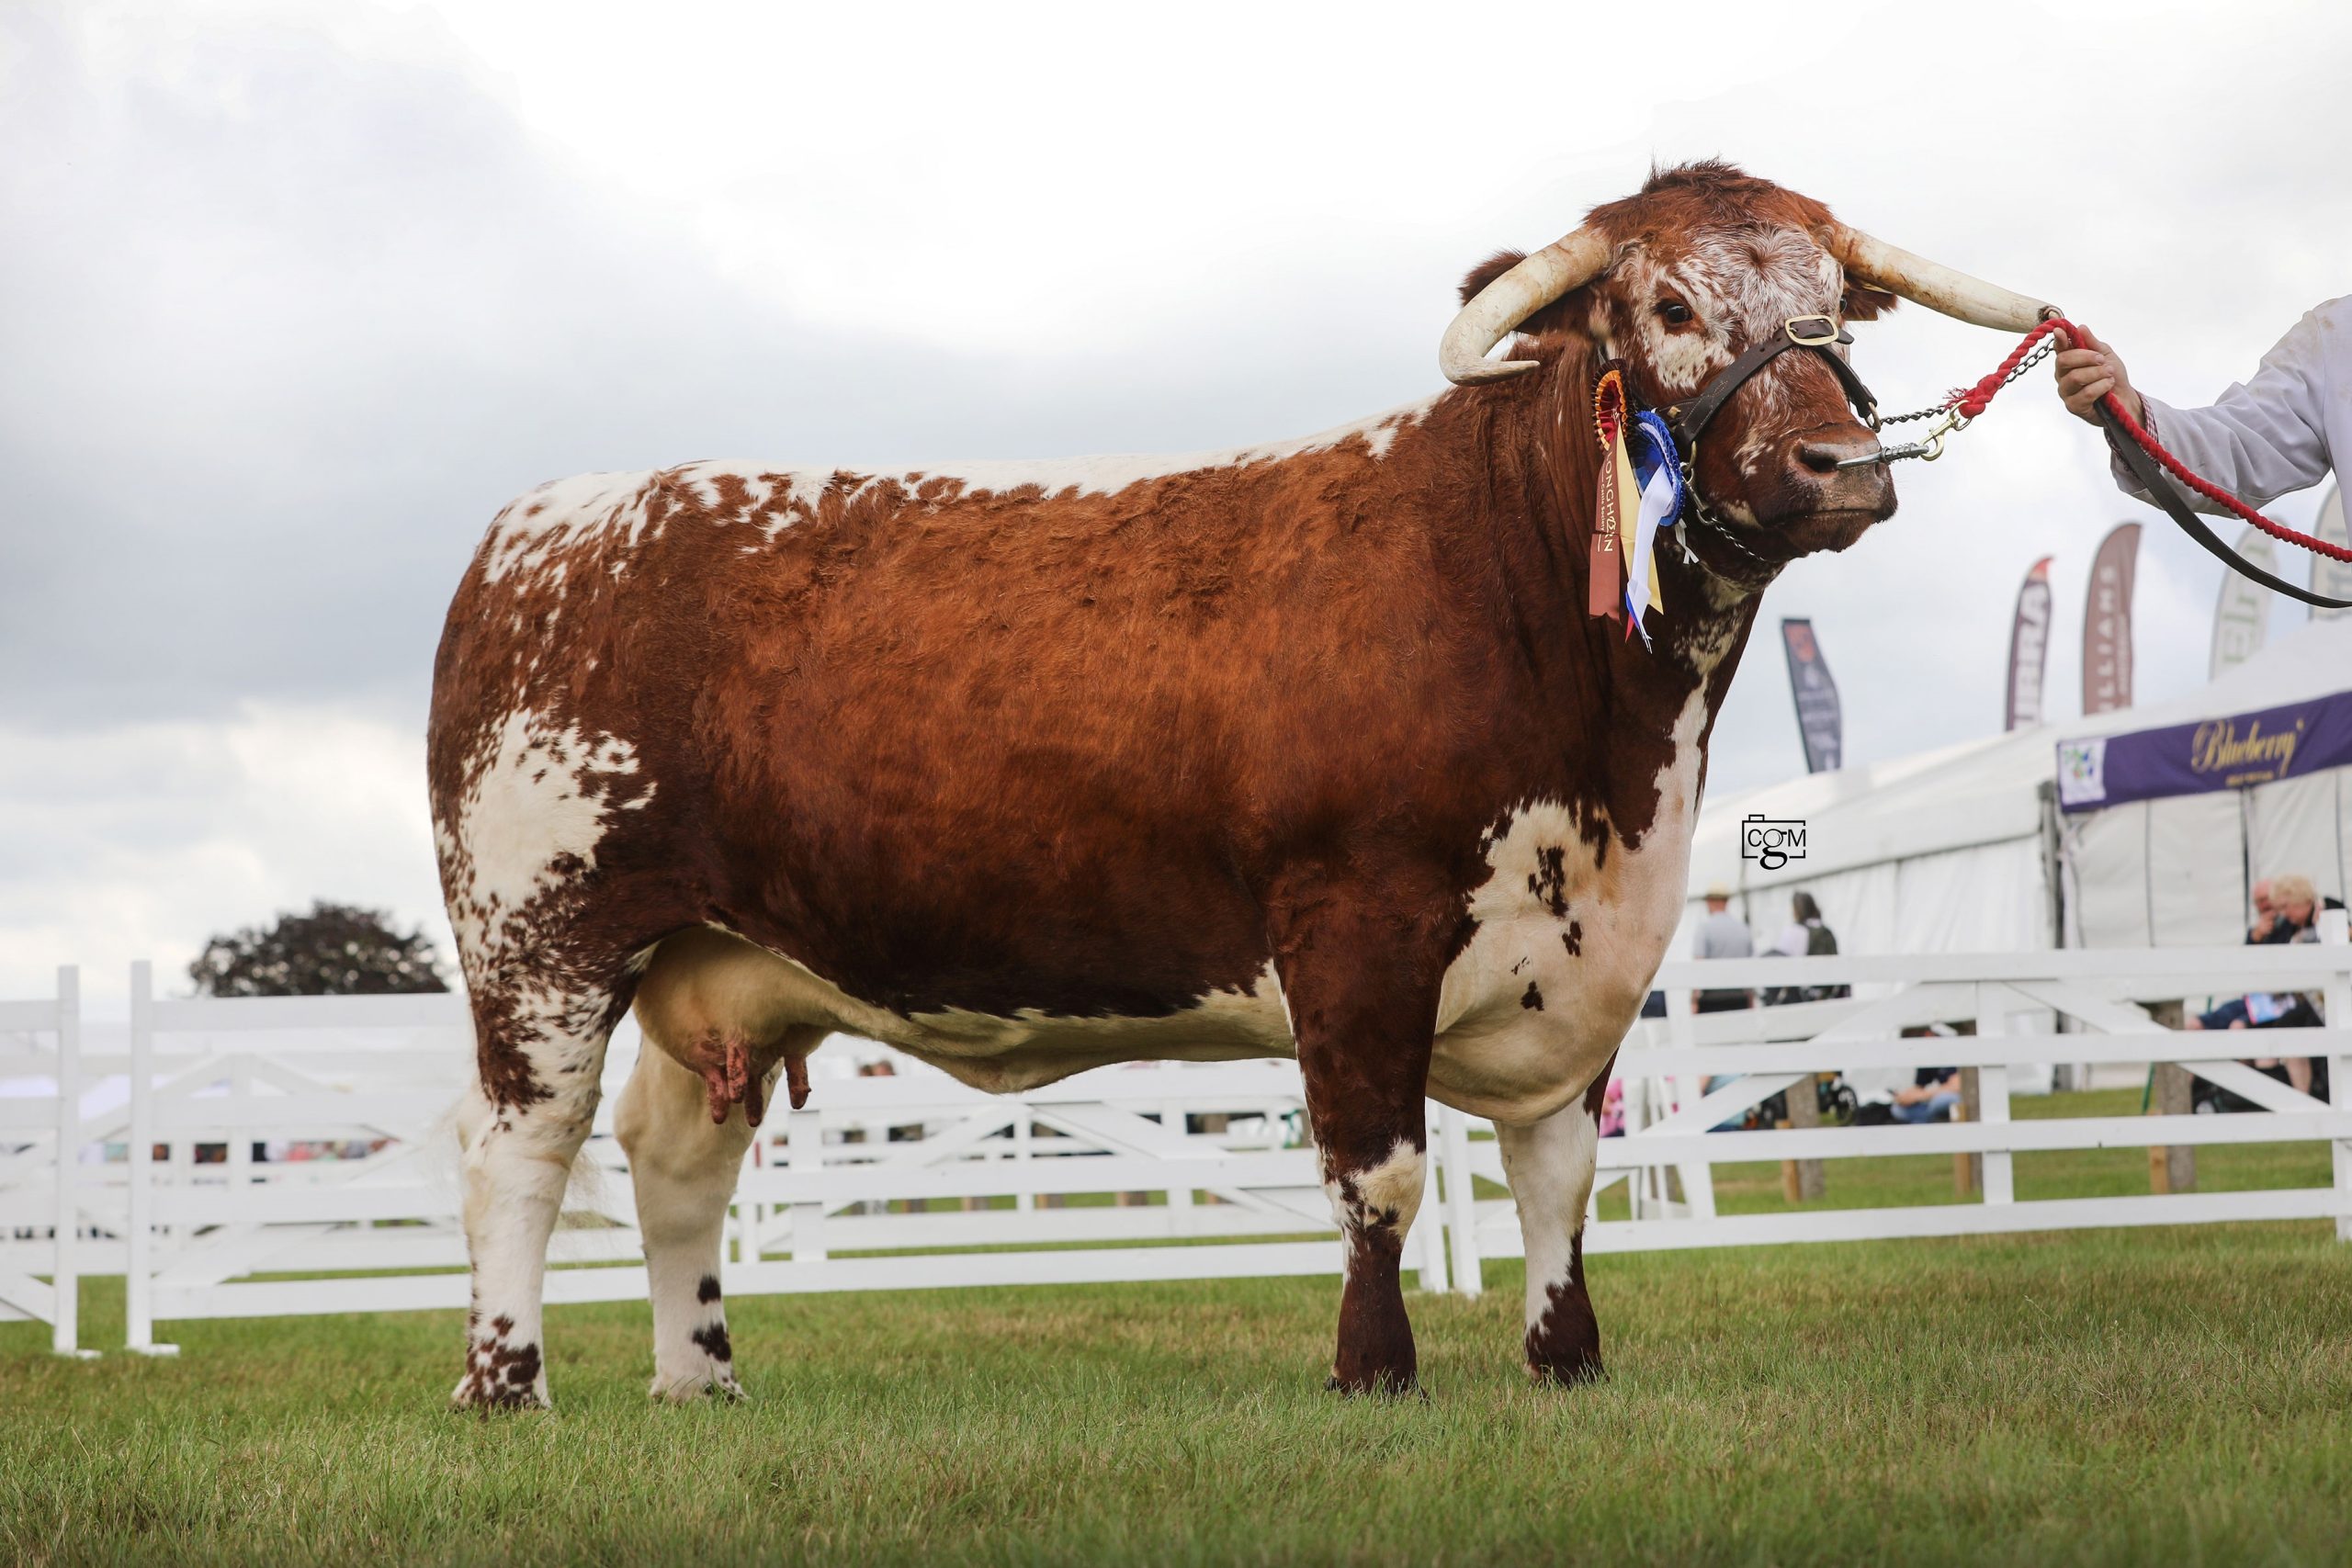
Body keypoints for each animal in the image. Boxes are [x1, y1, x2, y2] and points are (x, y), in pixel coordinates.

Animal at [433, 162, 2051, 1410]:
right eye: (1669, 308)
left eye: (1829, 301)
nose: (1841, 460)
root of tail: (543, 524)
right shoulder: (1356, 926)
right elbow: (1381, 1173)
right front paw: (1374, 1368)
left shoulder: (1589, 949)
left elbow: (1554, 1172)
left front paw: (1566, 1357)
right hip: (543, 940)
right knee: (522, 1150)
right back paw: (508, 1382)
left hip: (722, 966)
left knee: (674, 1158)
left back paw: (698, 1379)